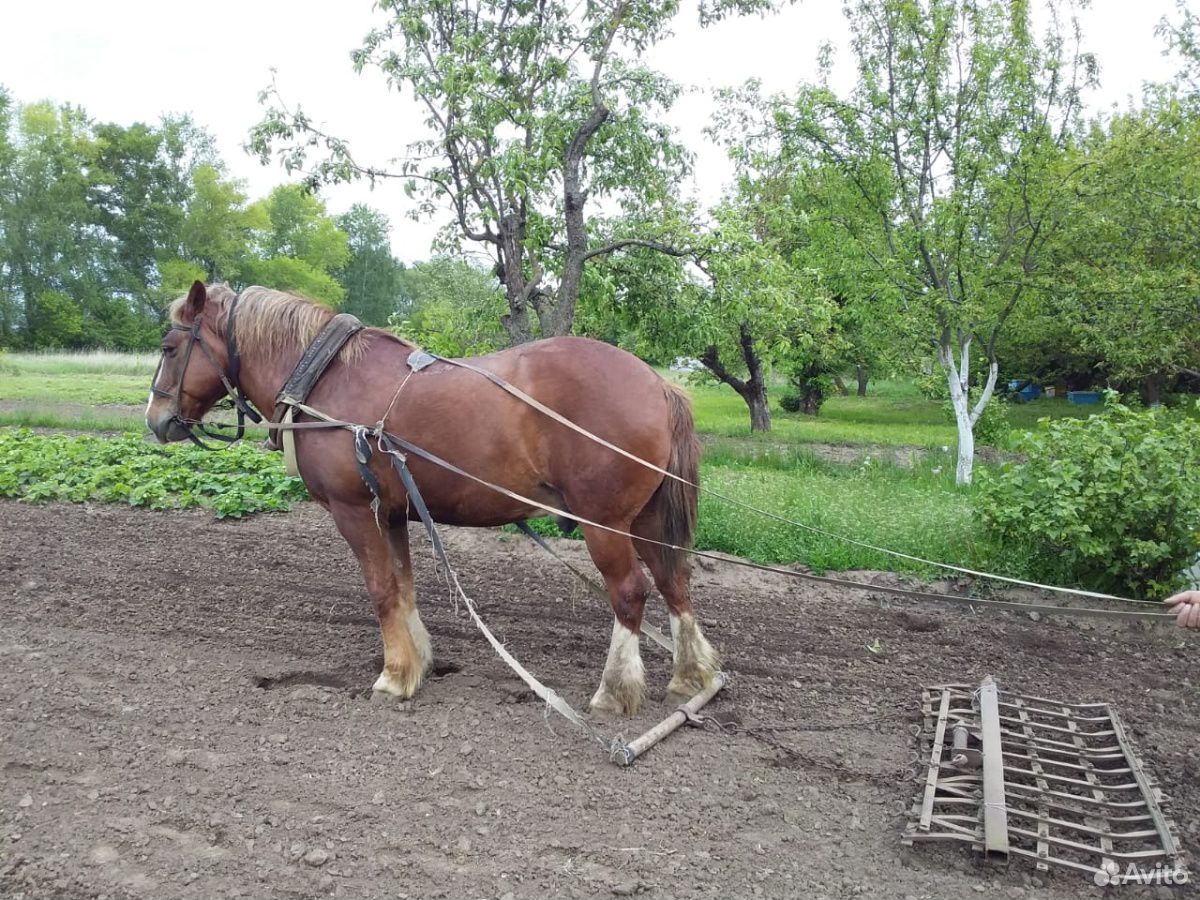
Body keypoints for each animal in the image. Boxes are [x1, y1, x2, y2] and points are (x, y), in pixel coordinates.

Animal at [145, 282, 715, 720]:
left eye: (170, 347)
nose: (156, 419)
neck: (329, 379)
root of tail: (658, 383)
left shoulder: (355, 513)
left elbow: (380, 590)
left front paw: (394, 676)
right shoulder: (392, 513)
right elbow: (403, 587)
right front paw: (416, 662)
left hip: (605, 523)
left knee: (630, 592)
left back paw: (614, 691)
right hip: (645, 519)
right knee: (675, 583)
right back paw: (691, 676)